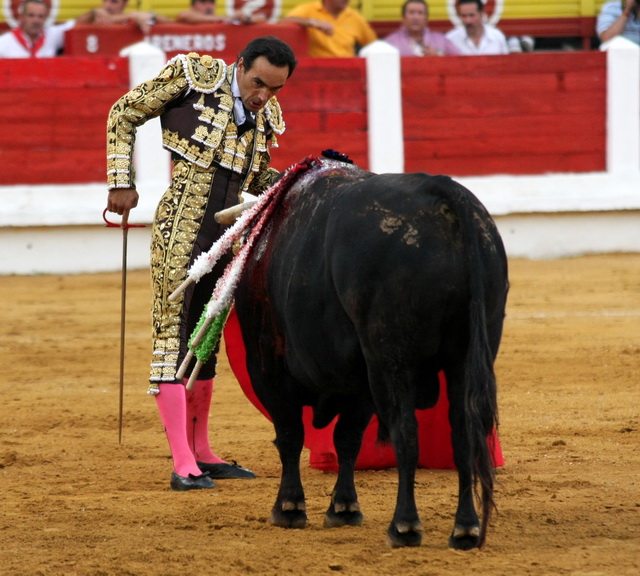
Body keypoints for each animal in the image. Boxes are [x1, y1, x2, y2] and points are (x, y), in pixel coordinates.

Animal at [232, 159, 508, 548]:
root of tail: (445, 194)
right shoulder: (359, 381)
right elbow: (347, 439)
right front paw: (344, 508)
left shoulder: (267, 366)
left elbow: (291, 435)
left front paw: (289, 508)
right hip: (465, 356)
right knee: (465, 432)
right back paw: (464, 529)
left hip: (392, 359)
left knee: (406, 432)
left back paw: (404, 526)